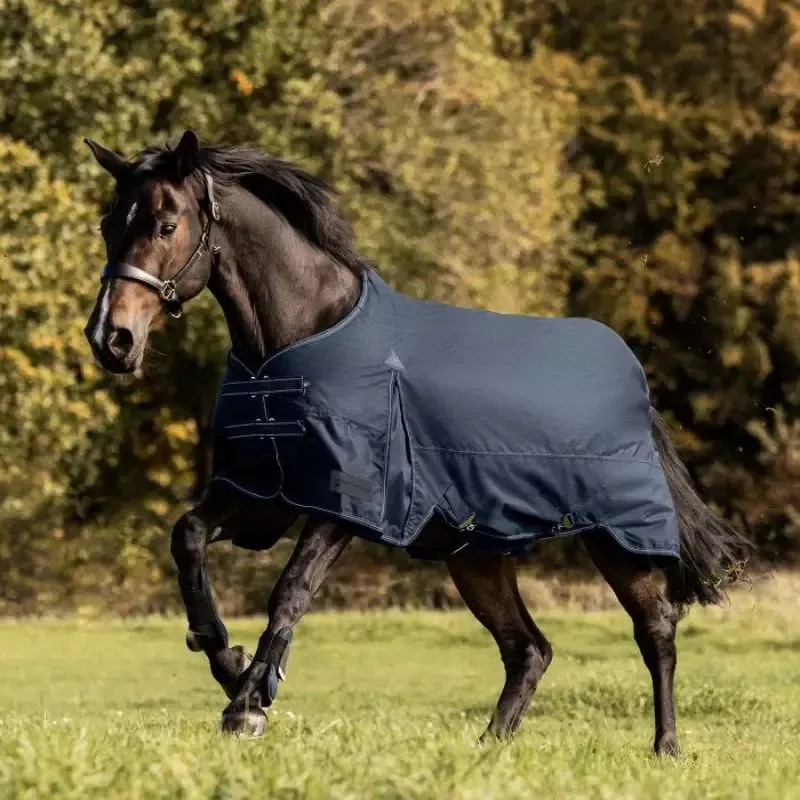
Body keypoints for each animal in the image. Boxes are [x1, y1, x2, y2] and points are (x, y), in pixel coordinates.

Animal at [83, 130, 747, 755]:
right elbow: (188, 537)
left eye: (167, 225)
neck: (298, 337)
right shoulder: (262, 496)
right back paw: (489, 748)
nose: (111, 339)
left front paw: (248, 703)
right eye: (109, 225)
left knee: (655, 628)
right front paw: (224, 658)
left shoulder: (344, 506)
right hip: (476, 556)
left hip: (618, 538)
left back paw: (665, 748)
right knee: (528, 649)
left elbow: (290, 591)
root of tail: (634, 383)